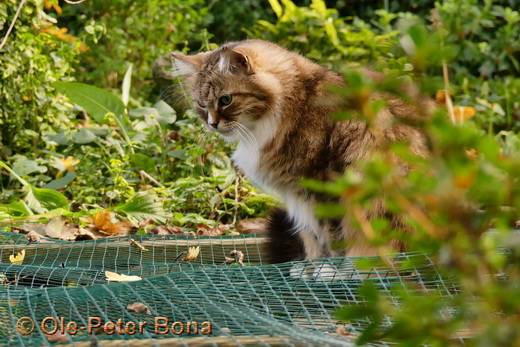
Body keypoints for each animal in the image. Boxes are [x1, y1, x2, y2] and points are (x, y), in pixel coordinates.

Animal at [172, 38, 434, 264]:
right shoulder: (298, 196)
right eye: (202, 105)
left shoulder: (321, 186)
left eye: (226, 100)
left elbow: (332, 239)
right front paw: (311, 268)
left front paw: (331, 273)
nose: (212, 124)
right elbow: (311, 238)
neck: (294, 101)